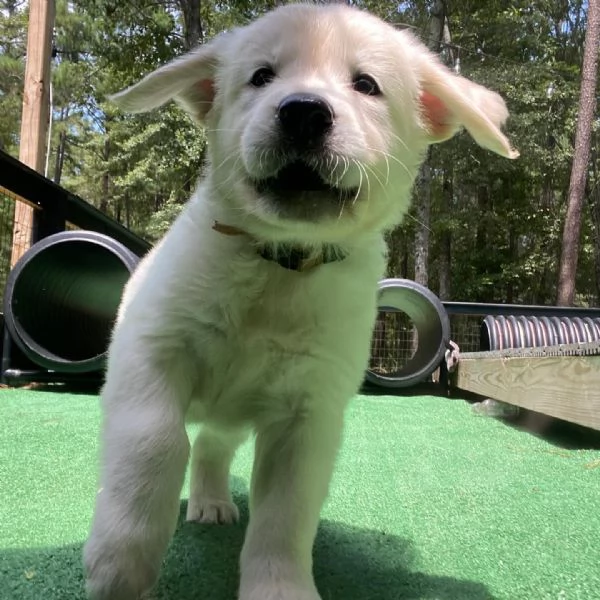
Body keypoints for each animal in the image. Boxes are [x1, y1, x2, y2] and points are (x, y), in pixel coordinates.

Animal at [82, 2, 516, 596]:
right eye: (262, 76)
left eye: (366, 85)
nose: (304, 113)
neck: (280, 265)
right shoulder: (152, 351)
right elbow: (155, 442)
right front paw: (121, 562)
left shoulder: (309, 413)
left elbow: (285, 512)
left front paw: (278, 584)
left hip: (235, 415)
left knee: (214, 444)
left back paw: (211, 499)